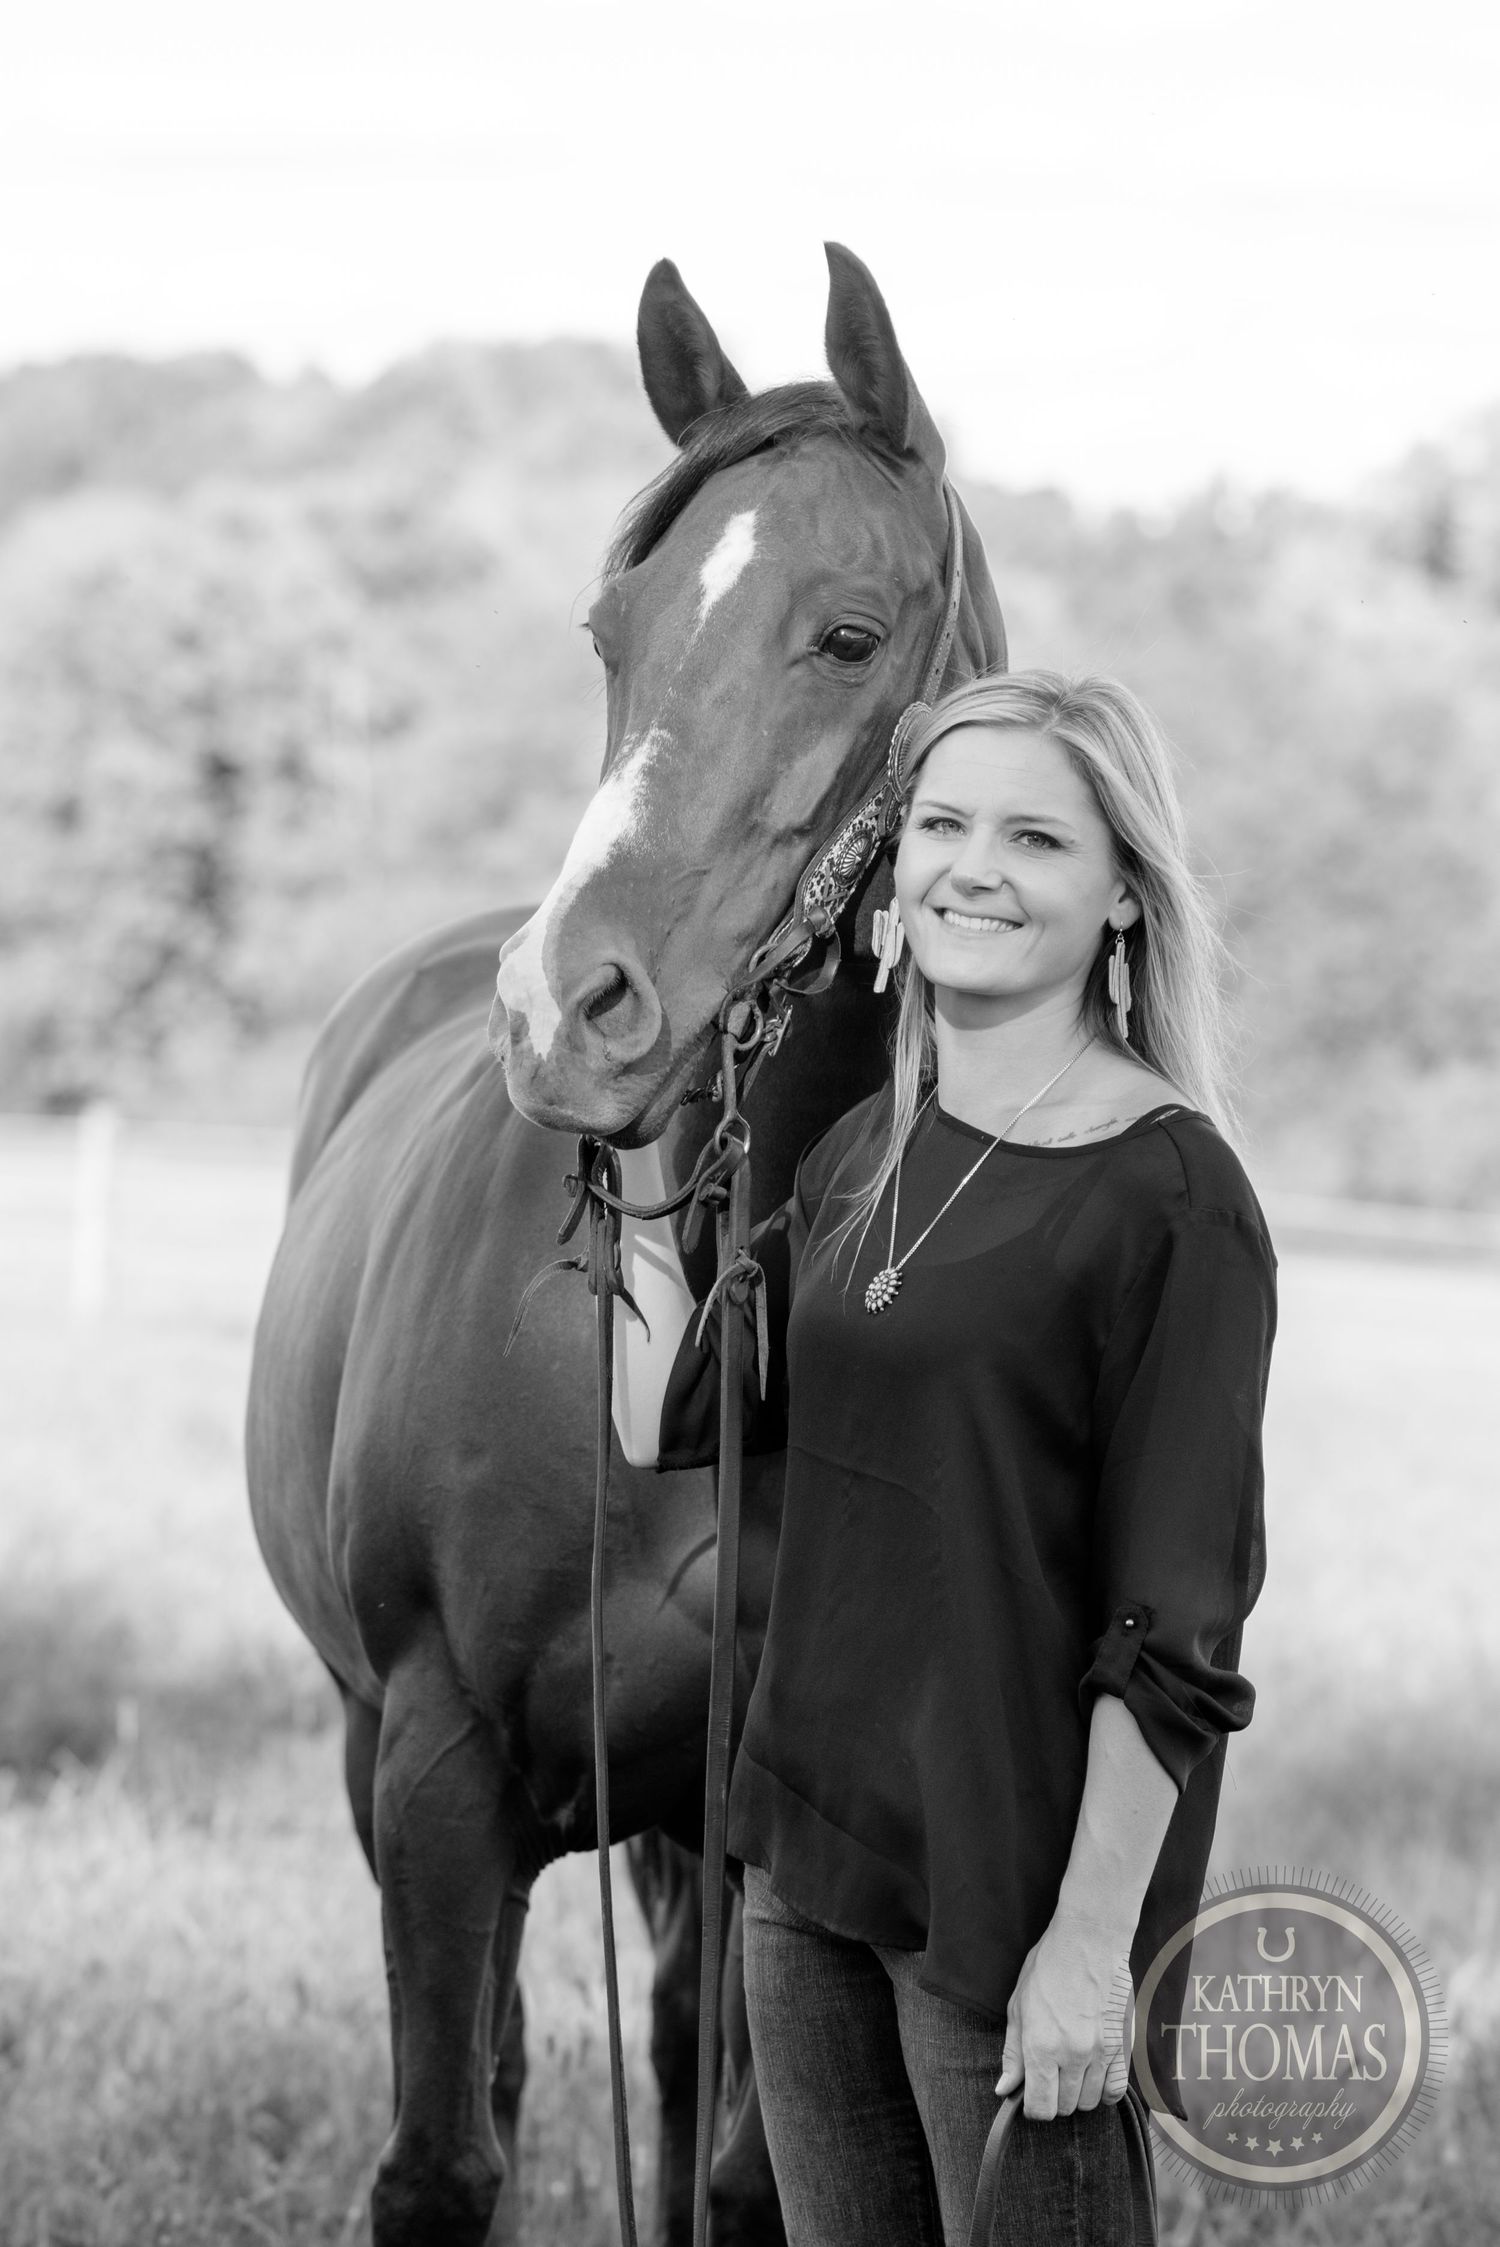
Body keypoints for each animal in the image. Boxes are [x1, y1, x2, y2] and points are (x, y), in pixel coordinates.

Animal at [246, 242, 1006, 2247]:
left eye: (847, 636)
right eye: (613, 628)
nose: (567, 1009)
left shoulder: (770, 1819)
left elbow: (747, 2168)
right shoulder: (438, 1773)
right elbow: (447, 2157)